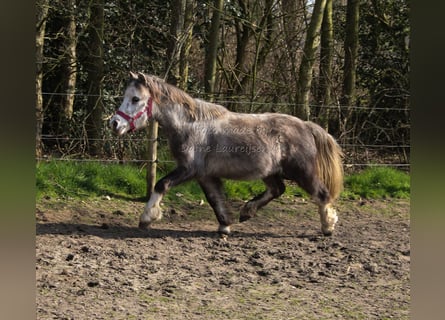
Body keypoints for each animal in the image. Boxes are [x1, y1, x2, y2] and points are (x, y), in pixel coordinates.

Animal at [108, 72, 344, 235]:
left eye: (135, 99)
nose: (114, 124)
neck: (191, 125)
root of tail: (306, 126)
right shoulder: (204, 175)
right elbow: (215, 199)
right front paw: (225, 225)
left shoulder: (189, 169)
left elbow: (161, 185)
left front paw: (147, 217)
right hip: (270, 172)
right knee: (278, 189)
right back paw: (247, 211)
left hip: (302, 172)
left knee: (321, 194)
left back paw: (327, 227)